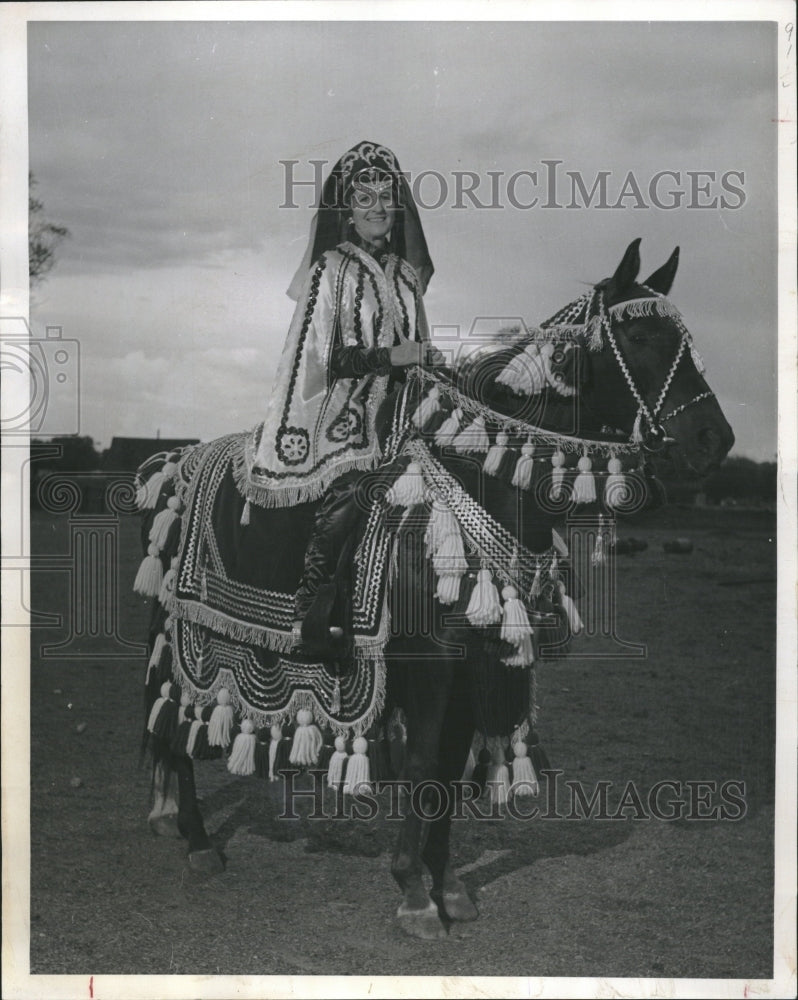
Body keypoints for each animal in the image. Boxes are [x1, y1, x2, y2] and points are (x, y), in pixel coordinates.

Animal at [136, 238, 732, 940]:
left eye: (683, 339)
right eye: (639, 337)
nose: (713, 439)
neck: (482, 485)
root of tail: (174, 462)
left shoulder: (478, 659)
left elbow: (447, 773)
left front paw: (447, 887)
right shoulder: (431, 663)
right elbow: (423, 766)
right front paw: (414, 894)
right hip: (179, 631)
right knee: (172, 723)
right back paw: (197, 840)